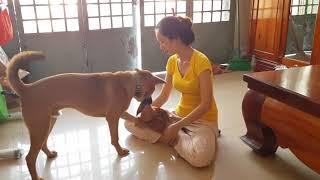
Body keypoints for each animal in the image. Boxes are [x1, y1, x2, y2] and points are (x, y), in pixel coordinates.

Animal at [6, 51, 165, 180]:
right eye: (151, 91)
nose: (151, 102)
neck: (132, 82)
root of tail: (27, 89)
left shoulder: (121, 113)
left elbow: (134, 118)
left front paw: (145, 124)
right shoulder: (112, 117)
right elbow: (115, 138)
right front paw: (120, 152)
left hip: (47, 124)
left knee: (42, 145)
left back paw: (50, 154)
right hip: (40, 128)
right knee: (30, 158)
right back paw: (36, 176)